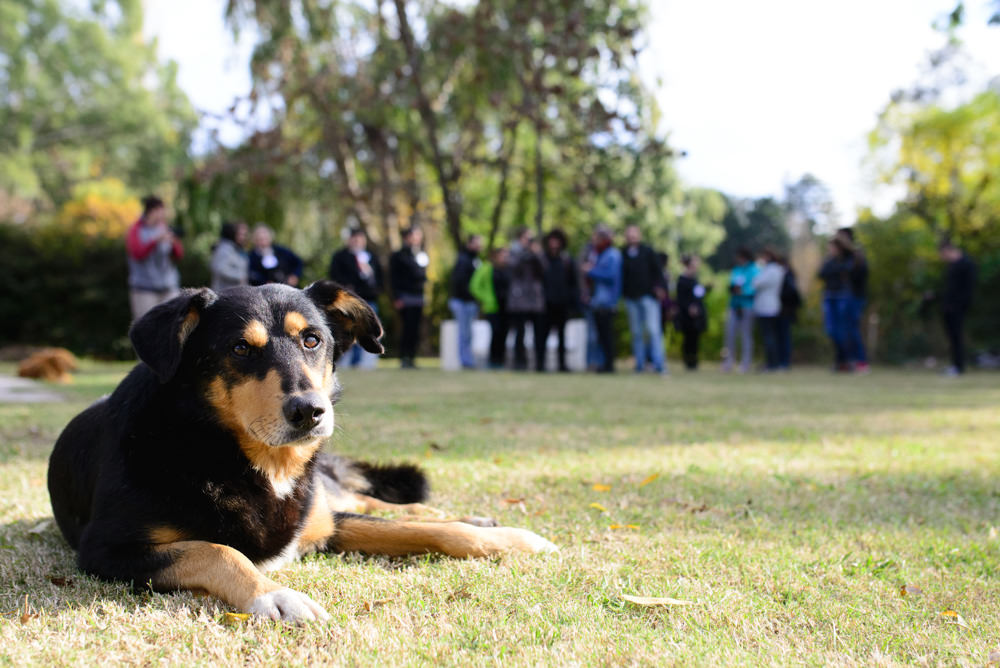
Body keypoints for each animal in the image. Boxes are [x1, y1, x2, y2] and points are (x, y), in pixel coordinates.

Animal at [47, 280, 560, 620]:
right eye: (239, 349)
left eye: (312, 339)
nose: (310, 411)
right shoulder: (107, 550)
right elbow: (218, 551)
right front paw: (274, 594)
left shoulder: (321, 523)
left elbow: (426, 530)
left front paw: (511, 540)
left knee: (377, 501)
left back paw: (477, 518)